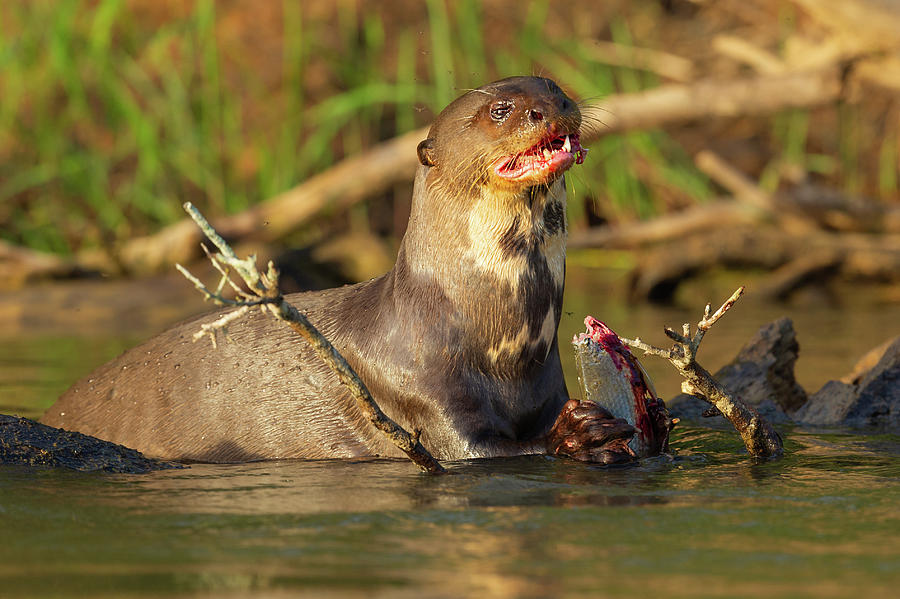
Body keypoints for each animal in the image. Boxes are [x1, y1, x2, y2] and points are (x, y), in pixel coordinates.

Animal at [44, 76, 648, 464]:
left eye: (555, 88)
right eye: (501, 110)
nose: (553, 107)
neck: (500, 340)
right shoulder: (421, 394)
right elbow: (480, 451)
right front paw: (579, 434)